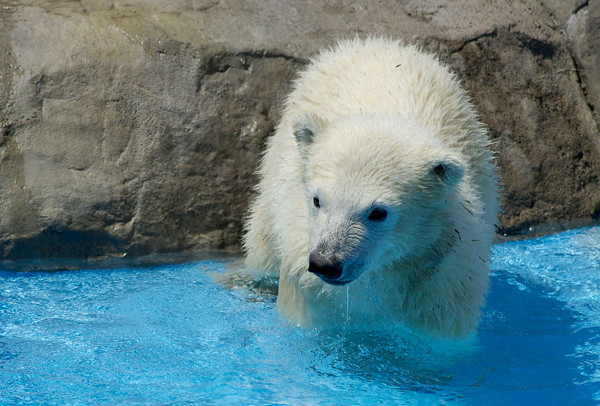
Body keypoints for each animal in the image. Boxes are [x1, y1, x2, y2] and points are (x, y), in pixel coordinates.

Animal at [239, 38, 496, 338]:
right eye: (317, 200)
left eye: (378, 212)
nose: (326, 263)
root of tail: (376, 42)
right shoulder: (304, 274)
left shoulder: (444, 279)